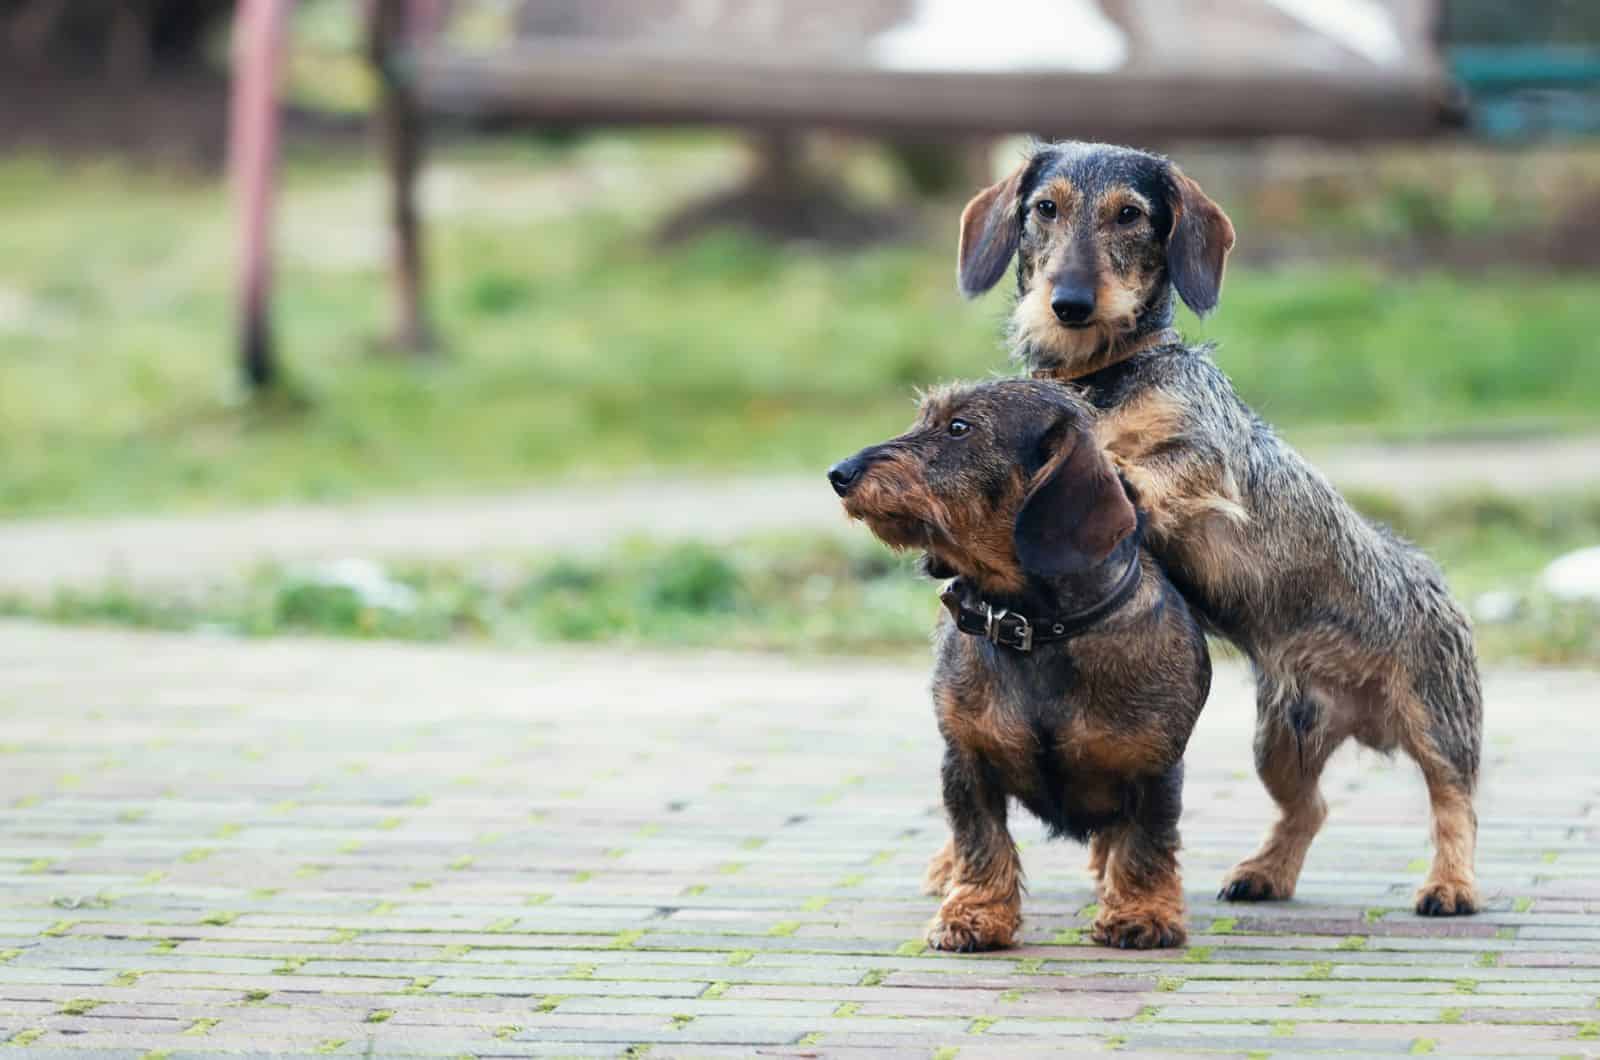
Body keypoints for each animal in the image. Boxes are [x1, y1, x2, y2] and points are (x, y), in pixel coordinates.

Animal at [947, 140, 1484, 915]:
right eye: (1044, 207)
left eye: (1130, 214)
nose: (1069, 304)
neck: (1098, 378)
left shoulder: (1204, 456)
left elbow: (1142, 463)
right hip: (1282, 743)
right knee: (1309, 808)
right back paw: (1265, 873)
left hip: (1438, 719)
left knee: (1455, 802)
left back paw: (1451, 884)